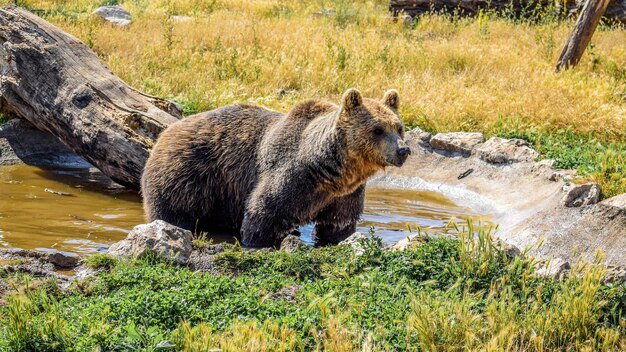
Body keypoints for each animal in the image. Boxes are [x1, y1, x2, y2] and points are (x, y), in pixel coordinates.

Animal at [144, 89, 412, 246]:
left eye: (398, 127)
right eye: (377, 130)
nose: (403, 150)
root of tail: (167, 131)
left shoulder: (345, 194)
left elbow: (339, 224)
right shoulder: (289, 177)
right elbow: (263, 214)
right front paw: (257, 241)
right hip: (189, 175)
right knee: (173, 212)